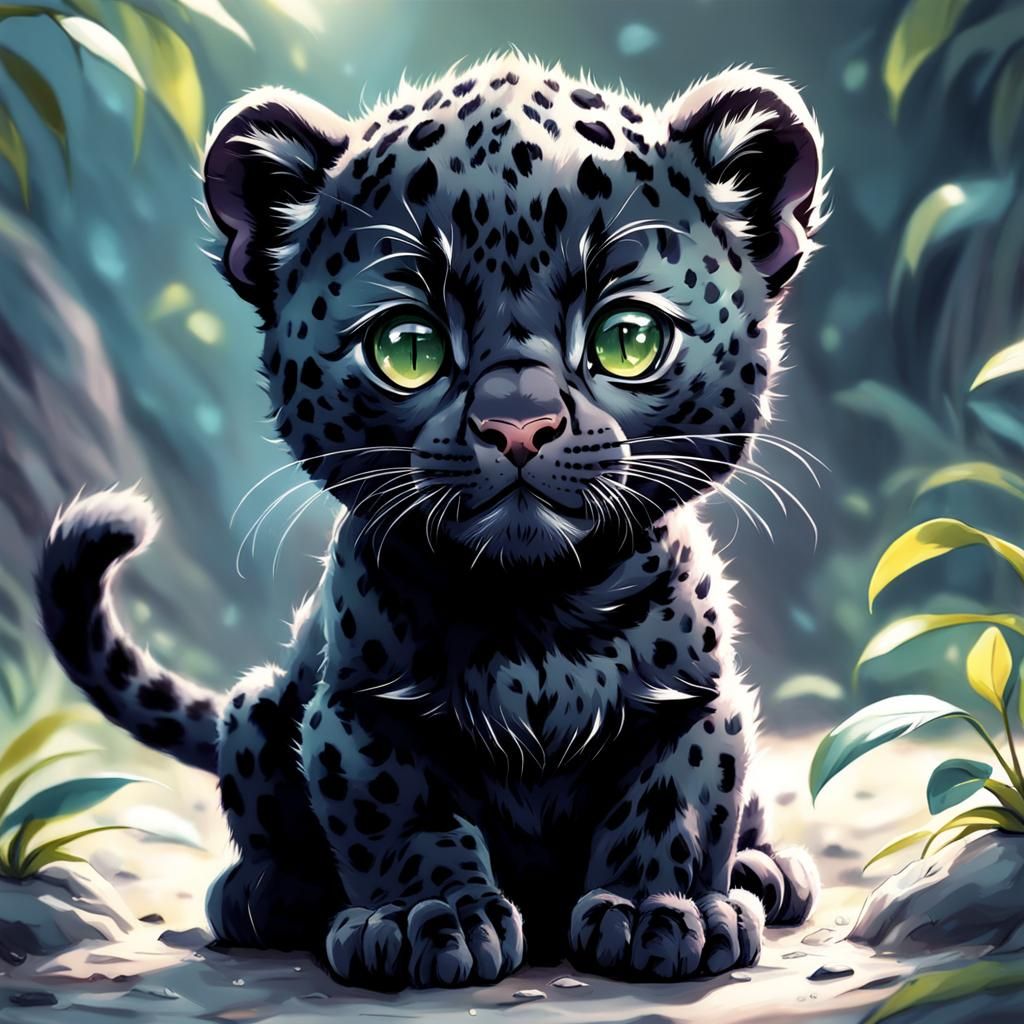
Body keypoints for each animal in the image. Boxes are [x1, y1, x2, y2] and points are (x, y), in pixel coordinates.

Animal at [38, 52, 826, 989]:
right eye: (408, 348)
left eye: (629, 339)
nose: (517, 424)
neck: (535, 618)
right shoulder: (356, 714)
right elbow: (402, 814)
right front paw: (430, 921)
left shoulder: (699, 701)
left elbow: (675, 798)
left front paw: (659, 913)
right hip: (259, 706)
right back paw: (267, 895)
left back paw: (766, 873)